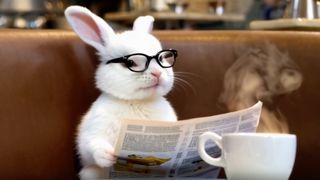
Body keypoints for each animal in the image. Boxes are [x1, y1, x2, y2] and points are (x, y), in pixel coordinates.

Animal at [63, 6, 176, 179]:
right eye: (130, 62)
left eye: (162, 58)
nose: (158, 73)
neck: (137, 102)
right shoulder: (91, 132)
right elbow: (89, 147)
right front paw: (108, 155)